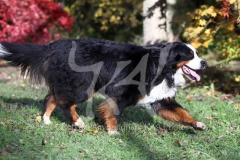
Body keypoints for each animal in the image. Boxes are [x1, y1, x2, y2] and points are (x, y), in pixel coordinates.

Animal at [0, 38, 206, 135]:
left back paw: (46, 119)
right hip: (83, 84)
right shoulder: (122, 92)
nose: (204, 63)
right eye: (190, 55)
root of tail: (54, 46)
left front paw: (198, 124)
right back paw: (77, 122)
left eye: (196, 53)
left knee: (52, 97)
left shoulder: (162, 100)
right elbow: (114, 111)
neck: (164, 67)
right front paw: (113, 130)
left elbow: (181, 114)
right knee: (65, 103)